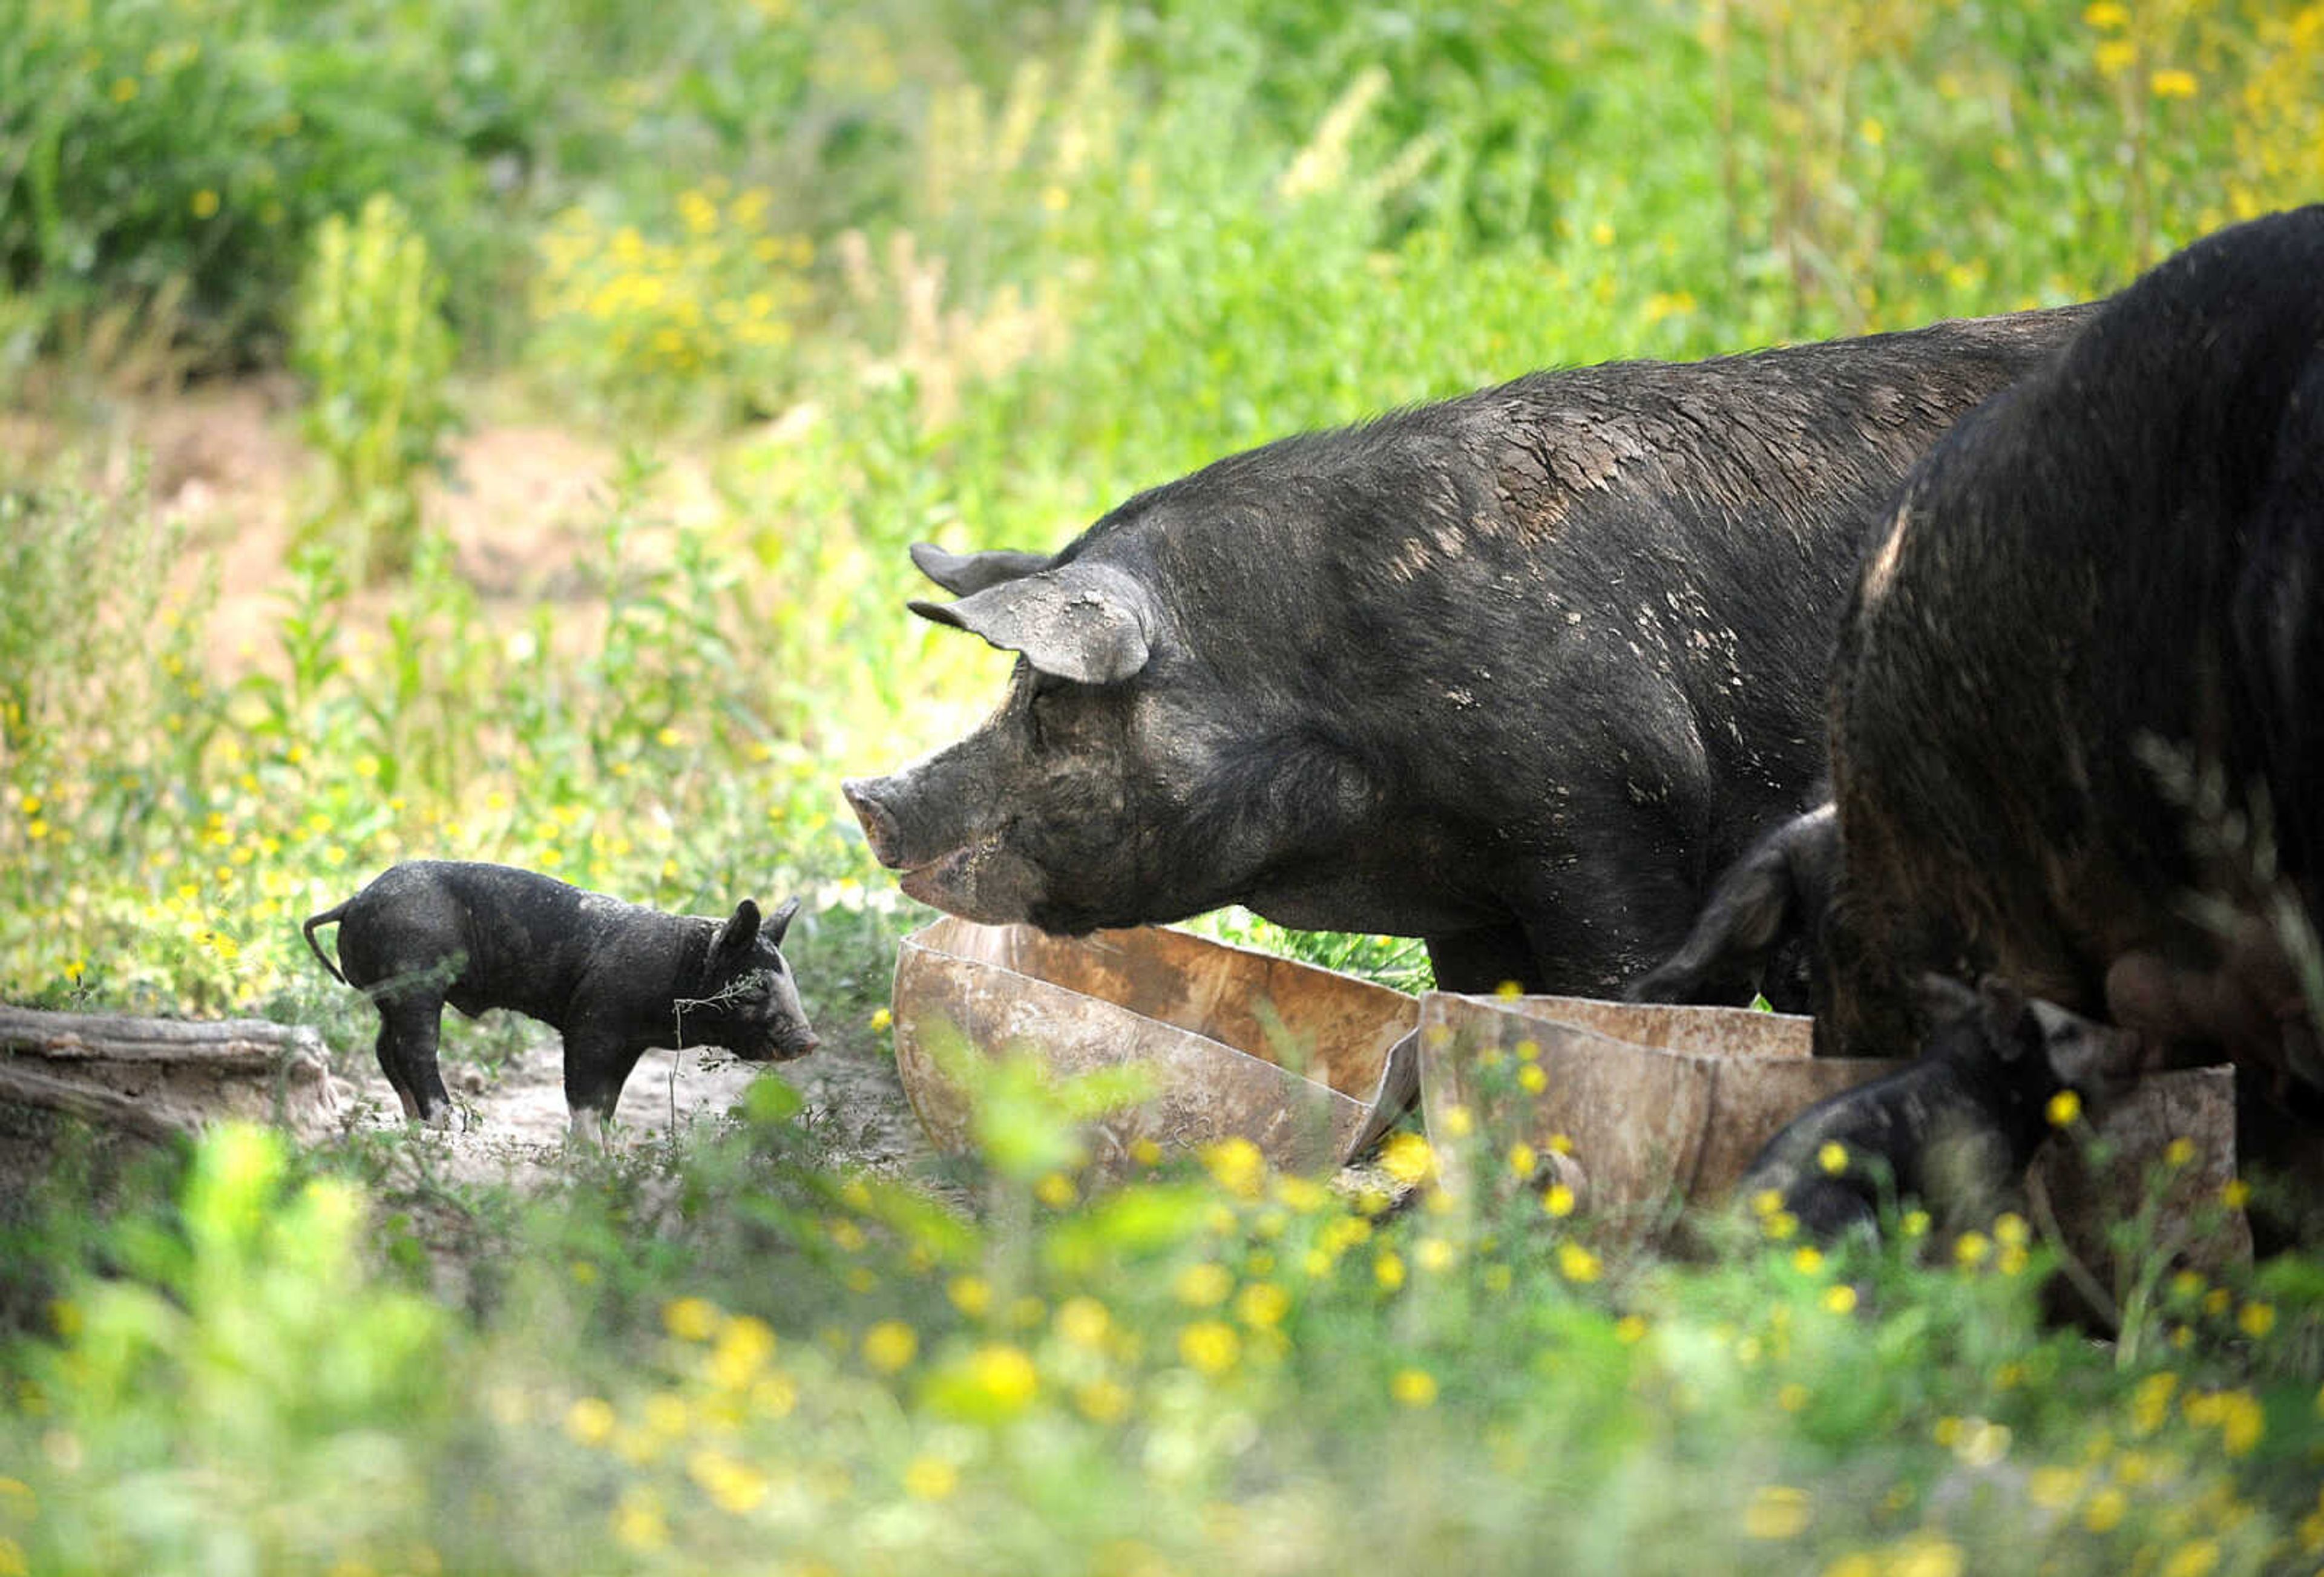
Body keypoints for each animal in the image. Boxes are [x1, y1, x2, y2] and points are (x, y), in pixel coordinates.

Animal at [304, 864, 822, 1133]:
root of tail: (352, 901)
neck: (680, 969)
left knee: (385, 1048)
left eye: (790, 980)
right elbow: (585, 1096)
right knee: (415, 1048)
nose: (810, 1041)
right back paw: (449, 1124)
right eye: (755, 987)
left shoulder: (630, 1043)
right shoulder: (593, 1023)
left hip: (389, 994)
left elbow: (610, 1102)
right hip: (416, 980)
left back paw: (416, 1125)